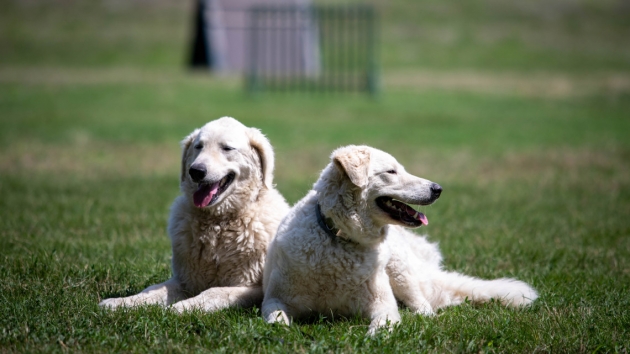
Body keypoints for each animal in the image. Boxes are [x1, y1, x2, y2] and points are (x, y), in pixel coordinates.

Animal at [101, 117, 292, 312]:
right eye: (198, 147)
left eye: (227, 148)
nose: (196, 171)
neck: (219, 223)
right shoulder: (184, 281)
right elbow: (153, 290)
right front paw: (121, 302)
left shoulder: (252, 287)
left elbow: (213, 292)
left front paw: (181, 307)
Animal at [262, 145, 540, 334]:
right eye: (391, 172)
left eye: (401, 169)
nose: (438, 189)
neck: (339, 238)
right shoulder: (275, 299)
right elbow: (276, 319)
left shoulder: (382, 303)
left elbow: (383, 323)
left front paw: (376, 336)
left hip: (400, 271)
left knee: (424, 306)